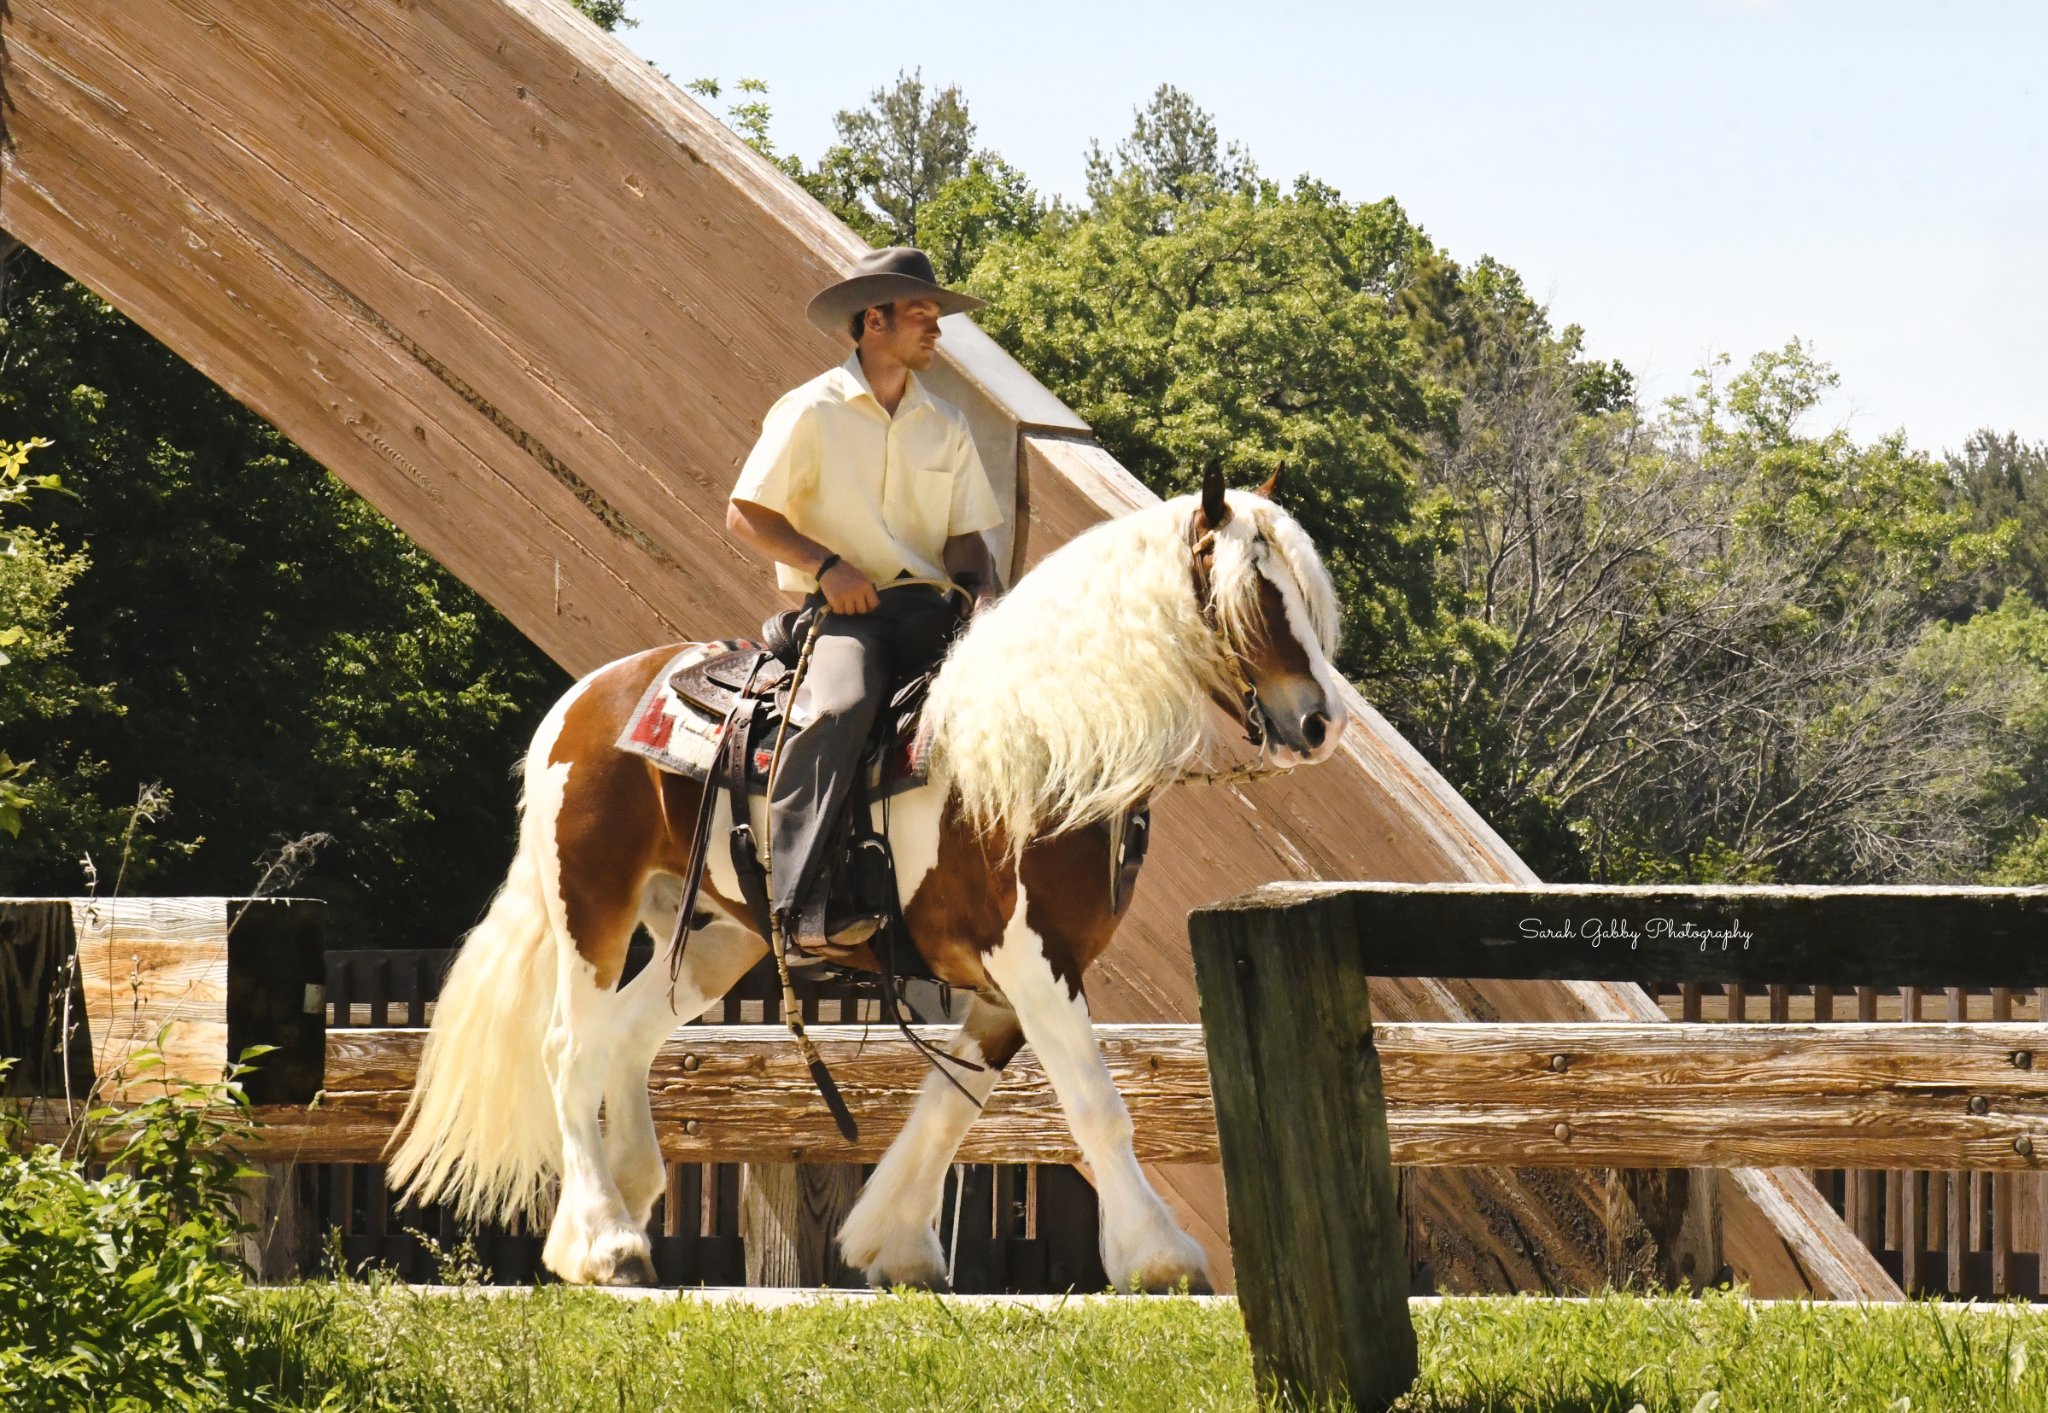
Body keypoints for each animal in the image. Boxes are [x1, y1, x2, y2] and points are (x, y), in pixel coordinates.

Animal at [387, 473, 1343, 1286]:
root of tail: (582, 700)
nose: (1322, 721)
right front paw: (1158, 1254)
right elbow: (1093, 1104)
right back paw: (604, 1238)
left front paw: (893, 1241)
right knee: (570, 1048)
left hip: (716, 937)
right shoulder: (1035, 958)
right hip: (593, 904)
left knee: (624, 1039)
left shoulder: (1005, 981)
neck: (1042, 744)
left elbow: (952, 1102)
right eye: (1261, 596)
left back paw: (624, 1198)